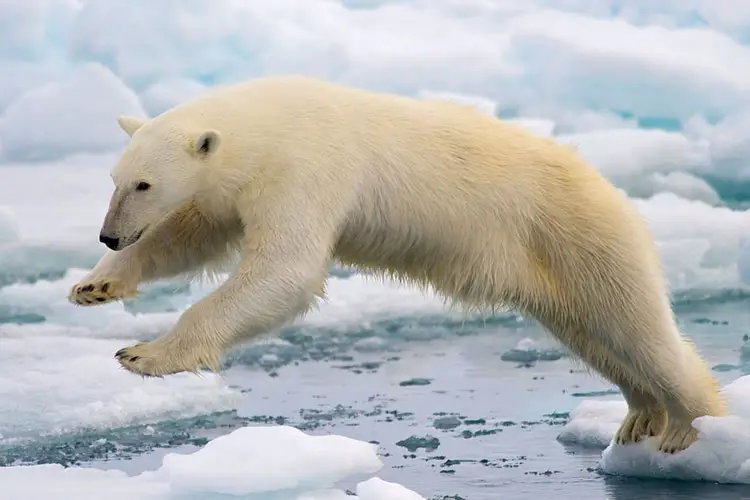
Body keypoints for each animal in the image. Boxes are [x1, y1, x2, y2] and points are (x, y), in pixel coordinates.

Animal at [67, 76, 724, 456]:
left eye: (144, 183)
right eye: (115, 179)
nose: (108, 230)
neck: (268, 123)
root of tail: (612, 190)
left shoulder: (306, 169)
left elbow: (285, 269)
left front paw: (144, 354)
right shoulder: (236, 187)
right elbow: (191, 234)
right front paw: (95, 284)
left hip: (579, 235)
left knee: (637, 328)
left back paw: (689, 427)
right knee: (593, 335)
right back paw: (640, 416)